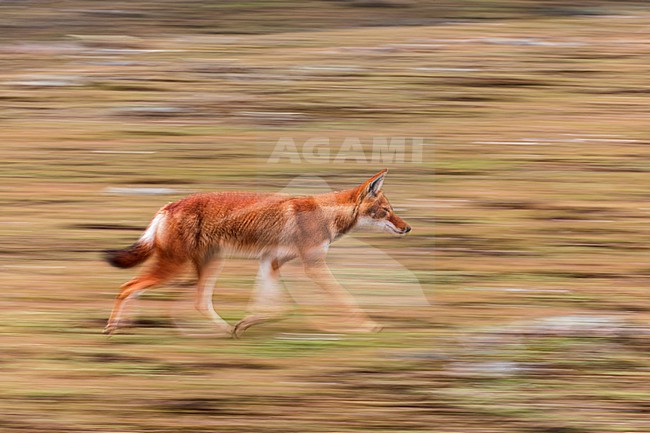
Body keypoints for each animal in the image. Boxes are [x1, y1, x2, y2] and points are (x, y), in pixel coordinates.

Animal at [104, 169, 411, 338]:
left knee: (192, 301)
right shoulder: (312, 266)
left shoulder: (271, 262)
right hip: (179, 268)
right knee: (127, 286)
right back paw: (112, 328)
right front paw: (369, 326)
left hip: (204, 266)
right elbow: (344, 300)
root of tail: (167, 206)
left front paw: (246, 323)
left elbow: (274, 306)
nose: (408, 228)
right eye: (386, 211)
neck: (325, 216)